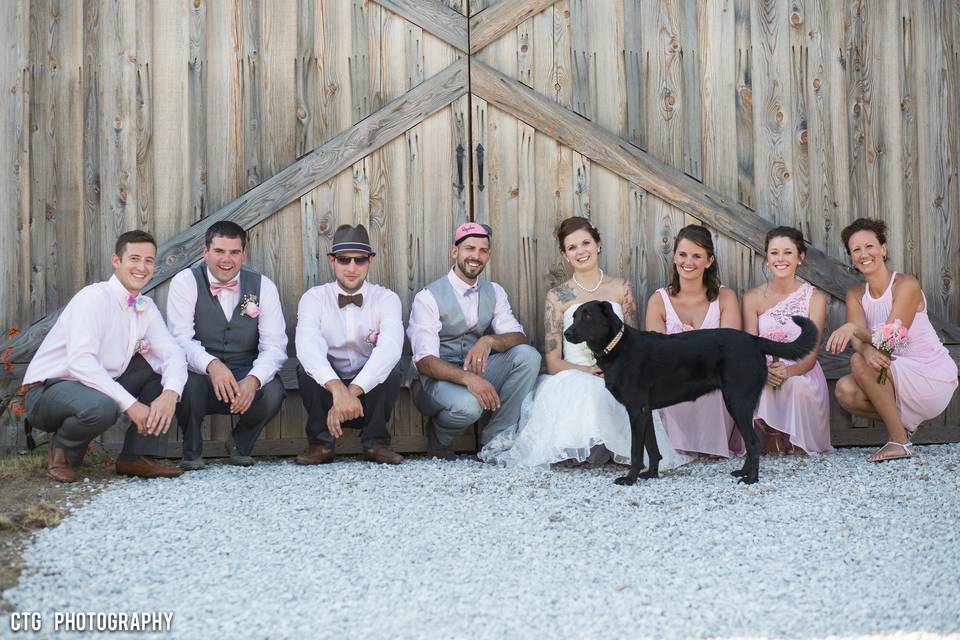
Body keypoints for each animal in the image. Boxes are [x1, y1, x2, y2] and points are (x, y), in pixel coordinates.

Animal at [564, 300, 816, 484]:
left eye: (588, 316)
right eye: (574, 316)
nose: (566, 333)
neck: (617, 347)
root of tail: (754, 340)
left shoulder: (636, 410)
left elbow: (636, 450)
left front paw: (630, 479)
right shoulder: (646, 411)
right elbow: (652, 448)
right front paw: (651, 475)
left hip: (737, 401)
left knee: (753, 443)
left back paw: (751, 479)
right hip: (740, 404)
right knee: (750, 442)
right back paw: (743, 473)